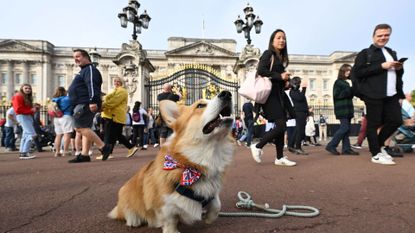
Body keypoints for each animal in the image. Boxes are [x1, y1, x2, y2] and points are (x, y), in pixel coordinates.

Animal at [109, 90, 236, 232]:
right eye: (200, 105)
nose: (227, 93)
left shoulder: (212, 191)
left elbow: (217, 204)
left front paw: (209, 218)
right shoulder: (164, 203)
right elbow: (170, 219)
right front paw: (172, 230)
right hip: (125, 193)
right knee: (125, 212)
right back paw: (133, 220)